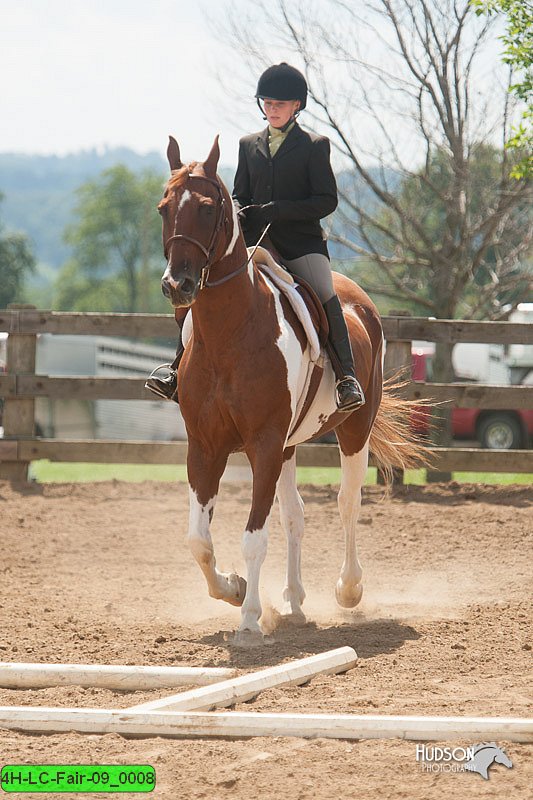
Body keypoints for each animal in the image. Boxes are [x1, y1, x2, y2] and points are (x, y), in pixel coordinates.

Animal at [158, 138, 424, 648]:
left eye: (206, 208)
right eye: (164, 208)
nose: (177, 285)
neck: (231, 334)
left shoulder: (262, 445)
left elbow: (253, 537)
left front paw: (247, 620)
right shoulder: (206, 447)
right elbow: (199, 541)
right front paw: (235, 589)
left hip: (352, 431)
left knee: (346, 502)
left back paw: (348, 589)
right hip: (287, 446)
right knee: (295, 514)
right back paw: (293, 602)